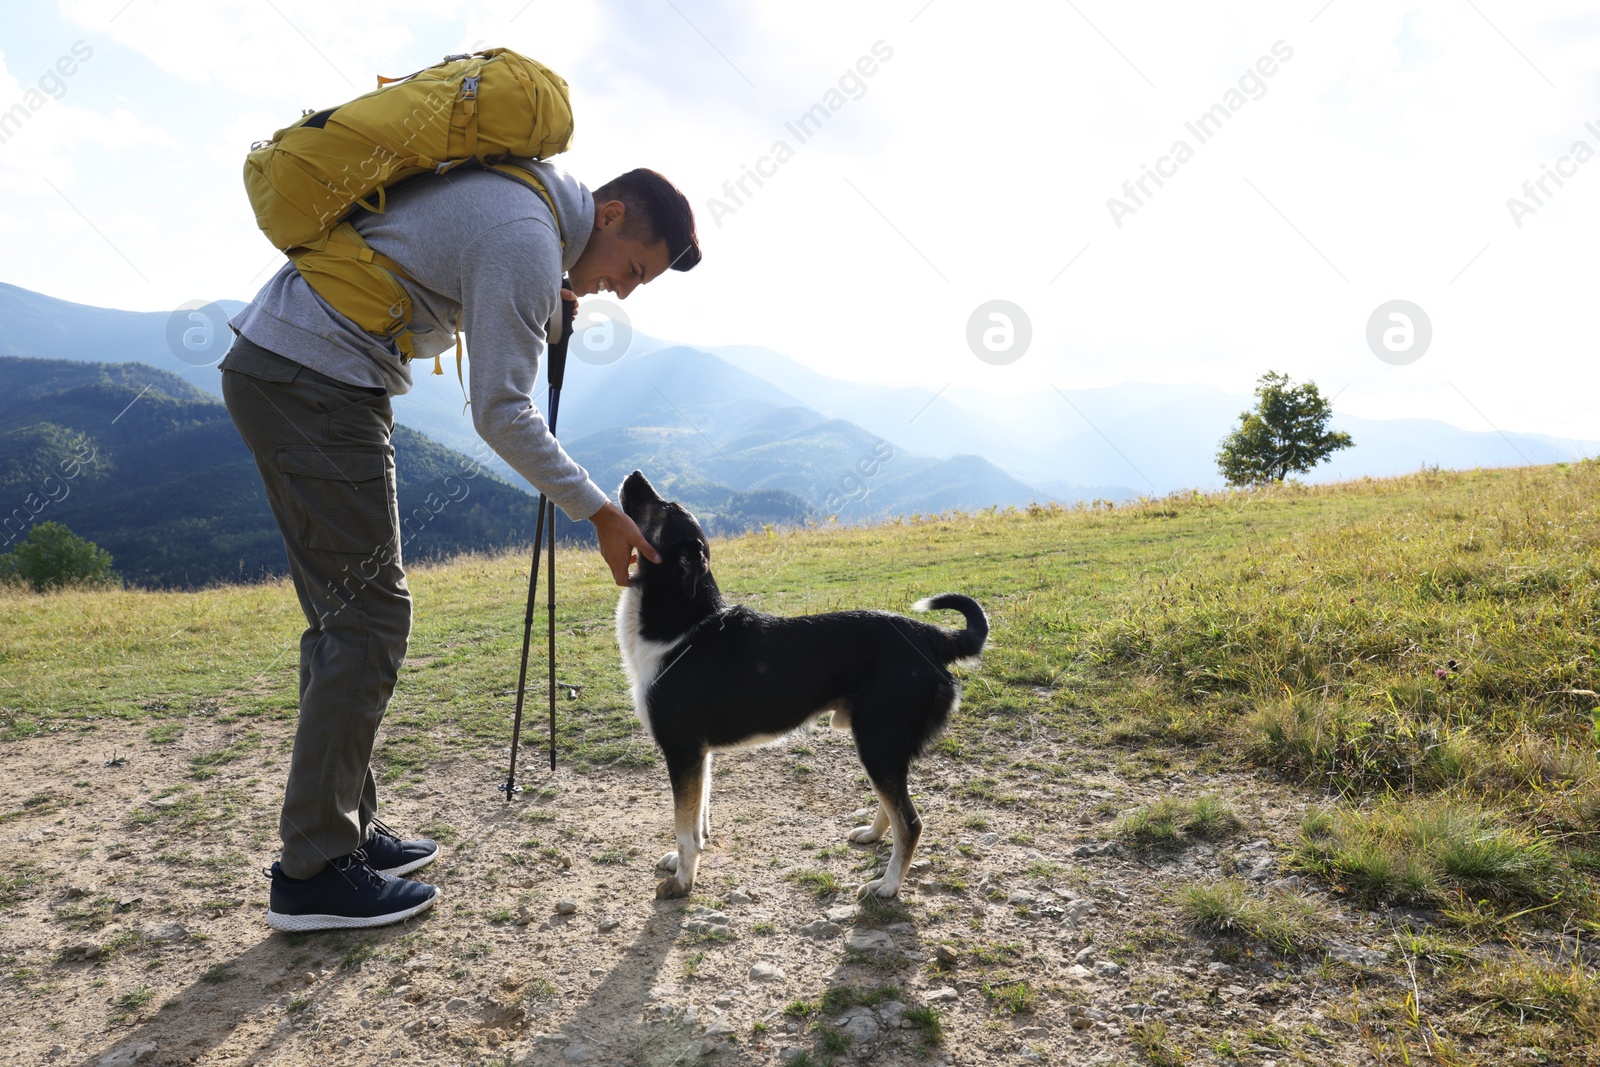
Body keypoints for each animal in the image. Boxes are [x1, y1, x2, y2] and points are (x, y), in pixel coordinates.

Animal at [614, 470, 979, 895]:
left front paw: (682, 883)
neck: (682, 623)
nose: (635, 474)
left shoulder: (682, 750)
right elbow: (699, 819)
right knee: (894, 807)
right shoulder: (698, 756)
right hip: (882, 747)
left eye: (665, 507)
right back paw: (872, 835)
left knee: (910, 821)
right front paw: (682, 864)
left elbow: (684, 829)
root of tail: (929, 636)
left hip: (877, 742)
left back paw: (887, 886)